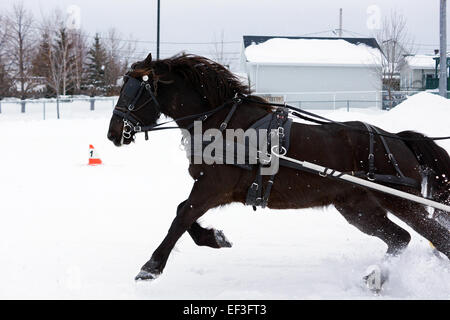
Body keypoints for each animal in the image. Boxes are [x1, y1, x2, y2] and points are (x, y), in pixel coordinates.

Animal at [107, 52, 448, 280]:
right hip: (357, 208)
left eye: (133, 91)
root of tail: (398, 140)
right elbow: (183, 212)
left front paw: (151, 267)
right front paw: (215, 238)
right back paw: (379, 275)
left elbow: (181, 217)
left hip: (401, 201)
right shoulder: (212, 189)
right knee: (399, 239)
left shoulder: (213, 187)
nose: (113, 132)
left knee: (434, 237)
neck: (222, 122)